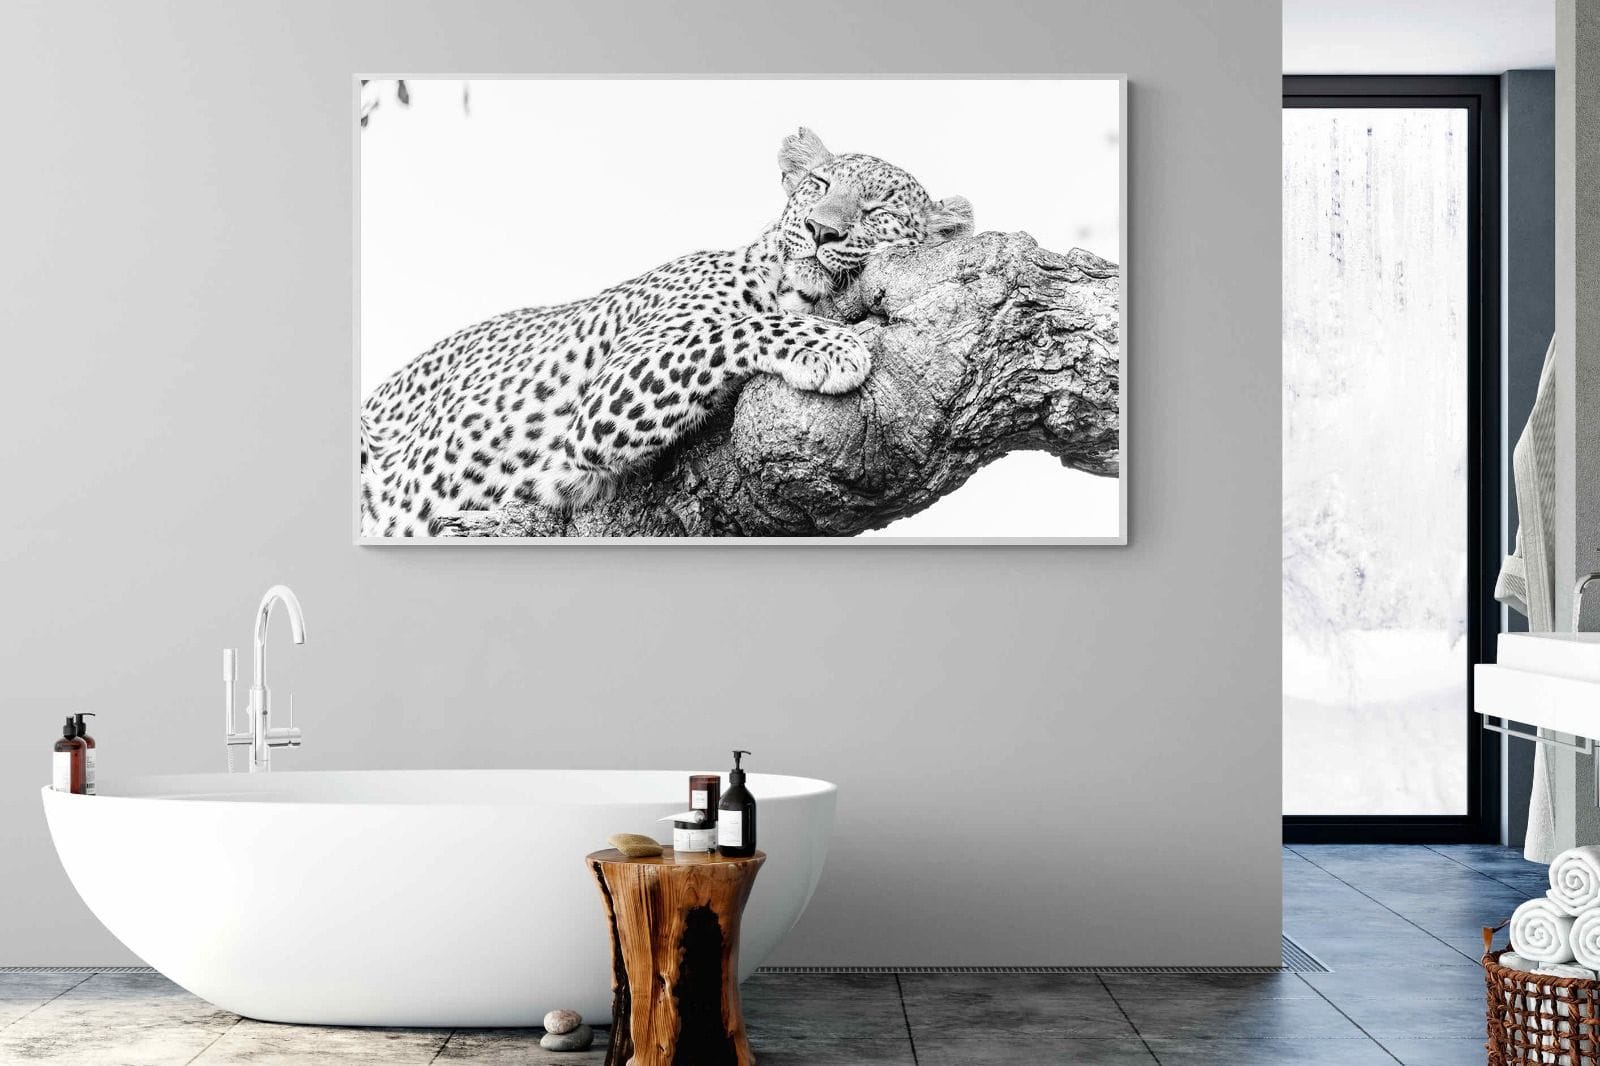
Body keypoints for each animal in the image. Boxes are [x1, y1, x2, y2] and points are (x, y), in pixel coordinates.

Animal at [359, 127, 973, 537]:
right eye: (819, 184)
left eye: (876, 210)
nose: (820, 229)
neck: (788, 284)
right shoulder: (605, 400)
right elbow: (736, 326)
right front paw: (833, 345)